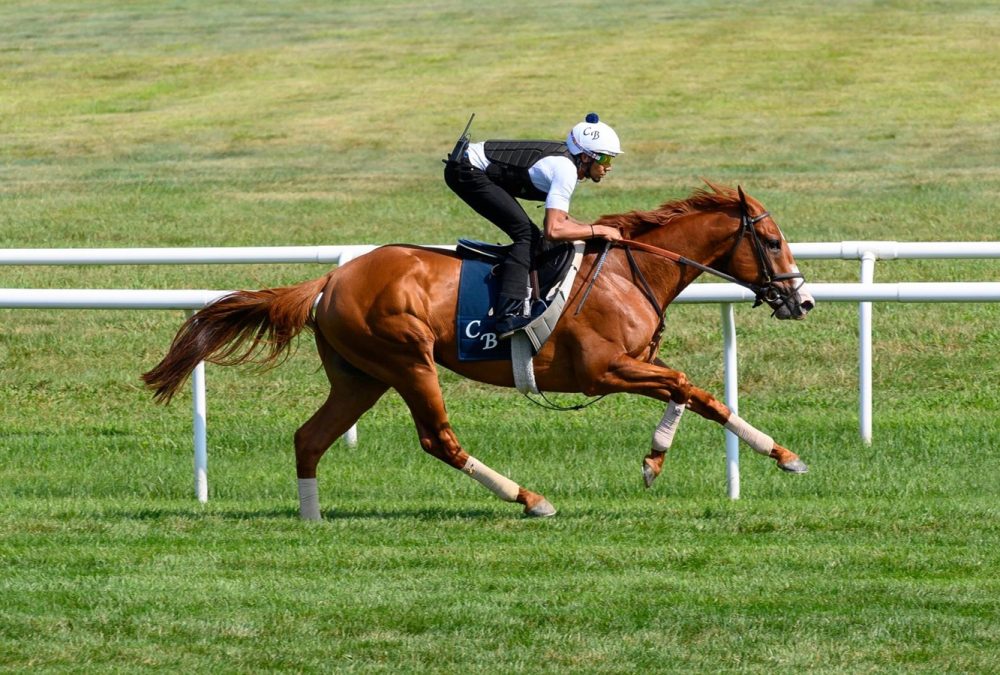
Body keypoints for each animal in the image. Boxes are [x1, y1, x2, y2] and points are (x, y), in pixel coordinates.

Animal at [141, 182, 812, 520]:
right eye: (773, 241)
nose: (801, 300)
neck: (631, 271)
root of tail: (330, 279)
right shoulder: (603, 371)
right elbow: (687, 386)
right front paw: (667, 458)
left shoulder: (627, 367)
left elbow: (697, 393)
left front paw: (771, 455)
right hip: (407, 358)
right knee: (438, 438)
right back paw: (529, 499)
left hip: (361, 375)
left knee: (310, 438)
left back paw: (312, 519)